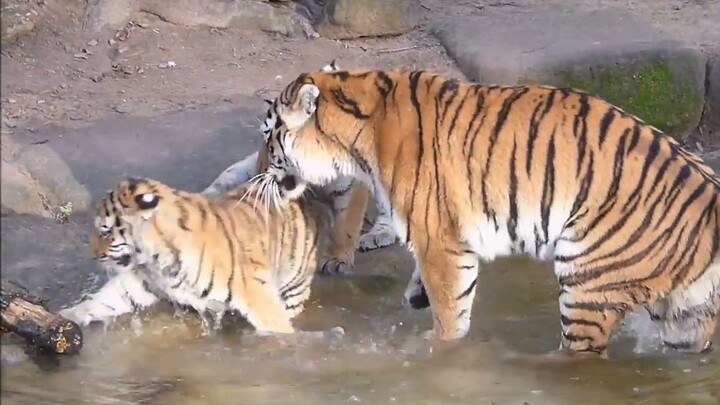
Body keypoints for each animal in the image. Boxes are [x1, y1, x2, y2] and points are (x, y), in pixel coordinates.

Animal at [59, 176, 339, 336]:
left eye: (105, 231)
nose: (93, 254)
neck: (157, 259)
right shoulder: (143, 282)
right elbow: (103, 300)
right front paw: (66, 316)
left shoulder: (258, 297)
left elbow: (278, 329)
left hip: (294, 289)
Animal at [252, 66, 720, 357]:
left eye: (269, 135)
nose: (257, 172)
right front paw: (415, 296)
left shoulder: (439, 241)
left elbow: (449, 315)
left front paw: (437, 350)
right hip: (681, 313)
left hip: (589, 281)